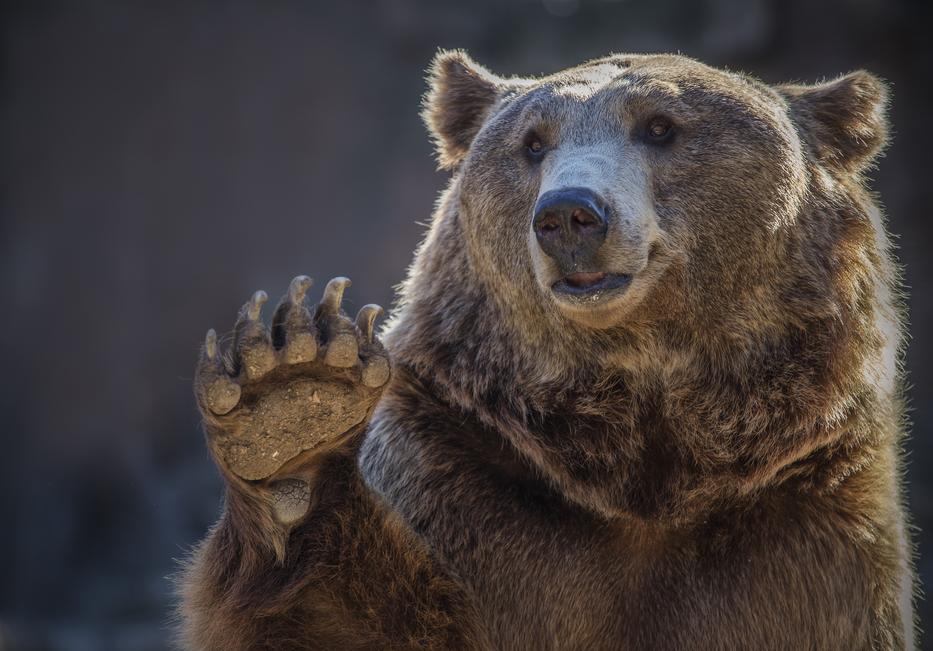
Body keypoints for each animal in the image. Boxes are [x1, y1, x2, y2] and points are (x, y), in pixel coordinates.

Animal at [178, 52, 912, 651]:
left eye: (660, 126)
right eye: (532, 142)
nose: (568, 214)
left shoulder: (801, 530)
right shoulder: (464, 479)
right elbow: (340, 621)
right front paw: (291, 405)